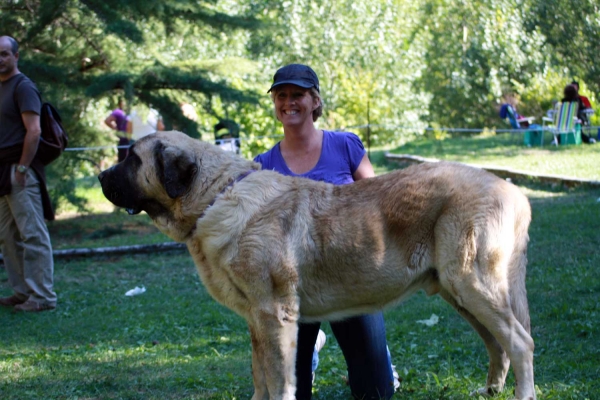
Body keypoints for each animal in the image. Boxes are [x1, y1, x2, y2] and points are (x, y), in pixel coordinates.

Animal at [98, 131, 536, 400]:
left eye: (131, 158)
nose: (100, 175)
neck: (214, 197)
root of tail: (511, 189)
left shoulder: (274, 313)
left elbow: (279, 376)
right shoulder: (256, 321)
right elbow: (260, 373)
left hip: (472, 282)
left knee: (519, 341)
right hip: (457, 290)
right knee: (497, 344)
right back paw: (491, 391)